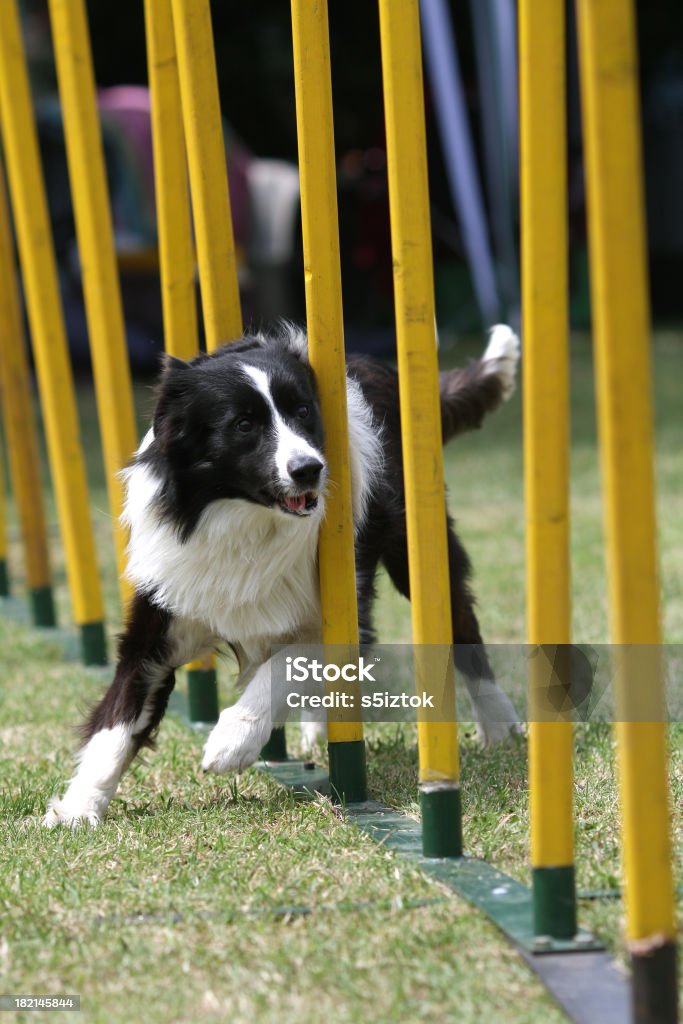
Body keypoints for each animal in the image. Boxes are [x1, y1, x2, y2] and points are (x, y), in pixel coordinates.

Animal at [45, 323, 520, 827]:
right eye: (243, 424)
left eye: (304, 411)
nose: (309, 469)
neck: (241, 518)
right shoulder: (162, 611)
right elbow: (116, 721)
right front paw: (78, 808)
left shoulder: (338, 607)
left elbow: (283, 665)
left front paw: (231, 742)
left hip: (412, 545)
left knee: (461, 622)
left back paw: (499, 724)